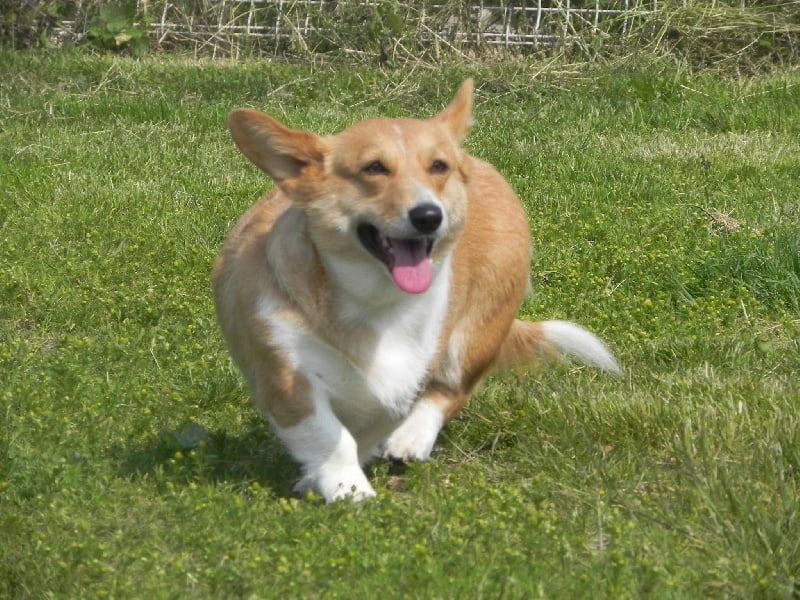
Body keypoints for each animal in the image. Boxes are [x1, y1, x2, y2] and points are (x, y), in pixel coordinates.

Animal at [213, 79, 621, 502]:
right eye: (374, 168)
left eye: (438, 166)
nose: (428, 215)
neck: (374, 301)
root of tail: (478, 162)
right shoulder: (286, 374)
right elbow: (332, 437)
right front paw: (348, 489)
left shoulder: (405, 378)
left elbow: (367, 429)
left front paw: (347, 485)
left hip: (474, 336)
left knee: (451, 390)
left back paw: (411, 438)